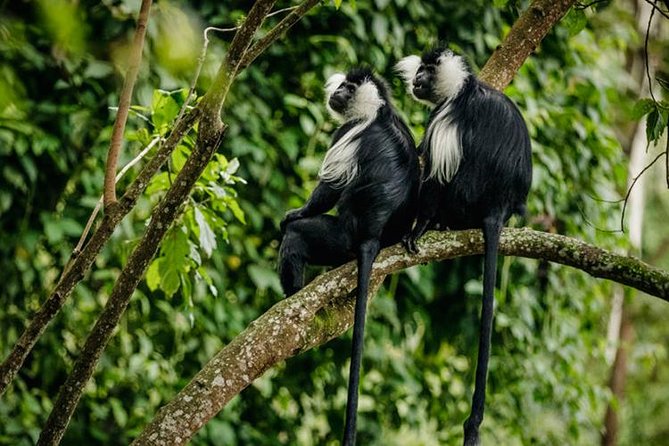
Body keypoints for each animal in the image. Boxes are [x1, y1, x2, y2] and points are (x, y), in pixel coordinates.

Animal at [278, 68, 419, 446]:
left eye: (349, 88)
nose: (337, 91)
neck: (378, 110)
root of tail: (371, 235)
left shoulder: (348, 133)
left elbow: (328, 190)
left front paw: (295, 213)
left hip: (338, 238)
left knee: (297, 238)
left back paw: (291, 295)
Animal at [396, 47, 532, 445]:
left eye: (427, 71)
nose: (416, 80)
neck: (463, 89)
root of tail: (497, 206)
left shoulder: (446, 118)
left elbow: (434, 176)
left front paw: (420, 227)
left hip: (464, 197)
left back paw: (436, 224)